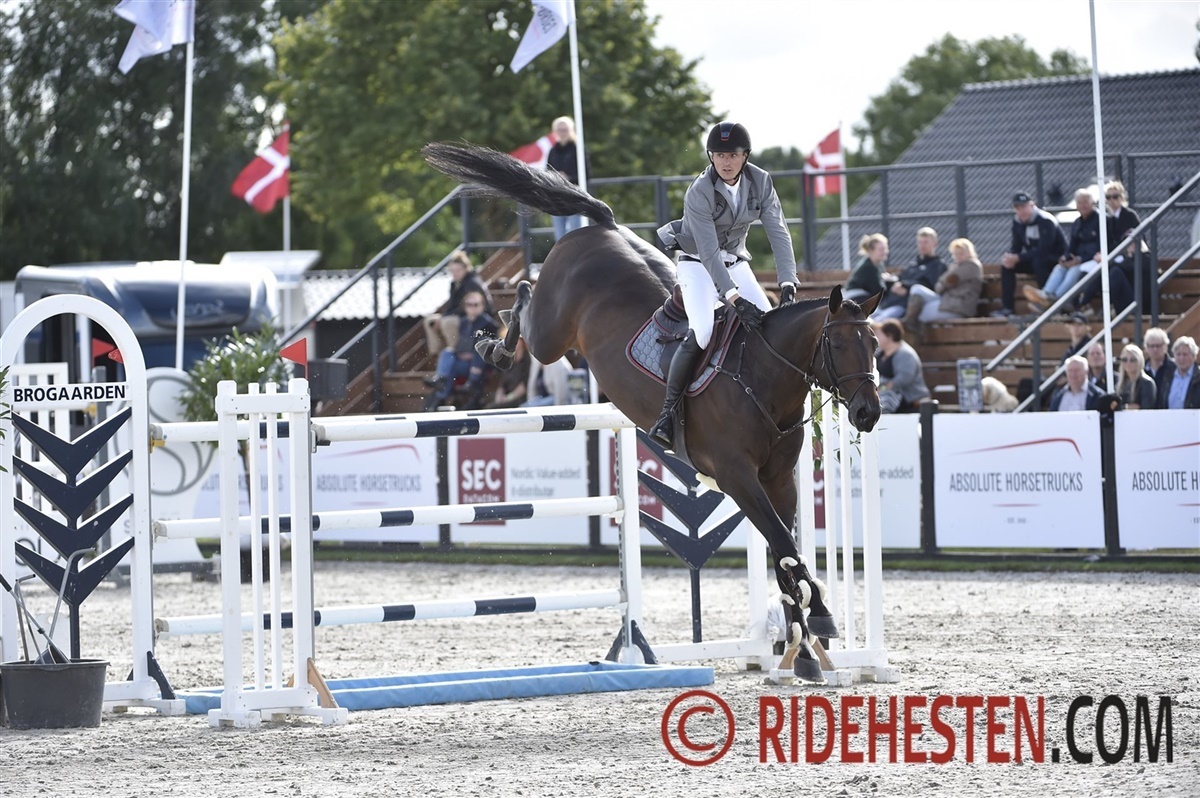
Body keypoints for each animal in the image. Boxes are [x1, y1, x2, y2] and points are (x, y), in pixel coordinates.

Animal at [423, 142, 882, 682]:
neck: (764, 377)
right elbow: (786, 551)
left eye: (875, 344)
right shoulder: (739, 478)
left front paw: (806, 652)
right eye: (839, 345)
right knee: (522, 300)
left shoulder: (778, 480)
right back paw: (491, 343)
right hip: (552, 335)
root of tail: (601, 225)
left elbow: (783, 554)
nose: (869, 414)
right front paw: (821, 620)